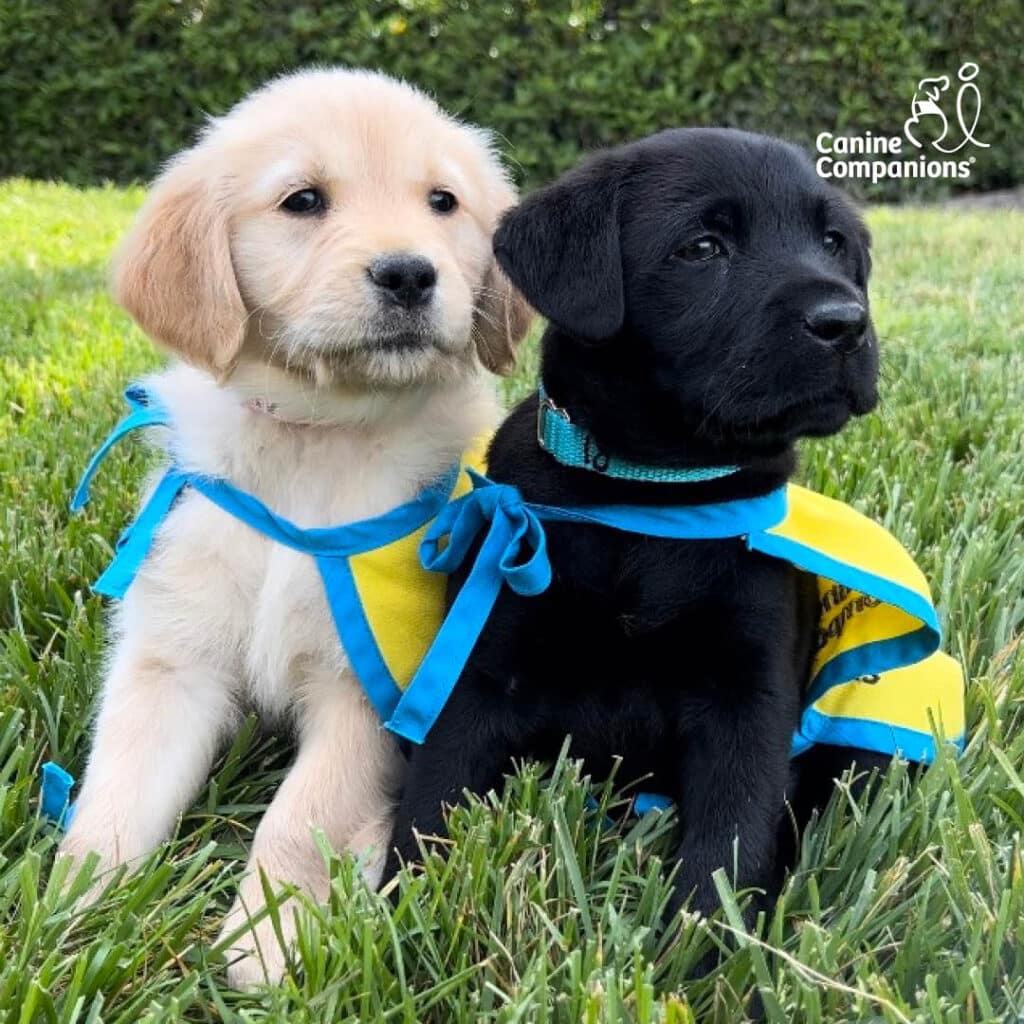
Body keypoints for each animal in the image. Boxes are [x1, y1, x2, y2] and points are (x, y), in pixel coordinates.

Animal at [59, 68, 532, 987]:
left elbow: (299, 820)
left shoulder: (371, 685)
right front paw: (70, 909)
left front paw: (267, 943)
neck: (316, 439)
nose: (409, 274)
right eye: (303, 200)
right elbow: (117, 791)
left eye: (443, 202)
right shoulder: (173, 657)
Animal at [385, 128, 888, 921]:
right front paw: (401, 912)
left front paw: (708, 945)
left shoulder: (749, 695)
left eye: (833, 242)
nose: (846, 324)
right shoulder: (480, 670)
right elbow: (431, 799)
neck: (649, 496)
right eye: (704, 247)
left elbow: (732, 837)